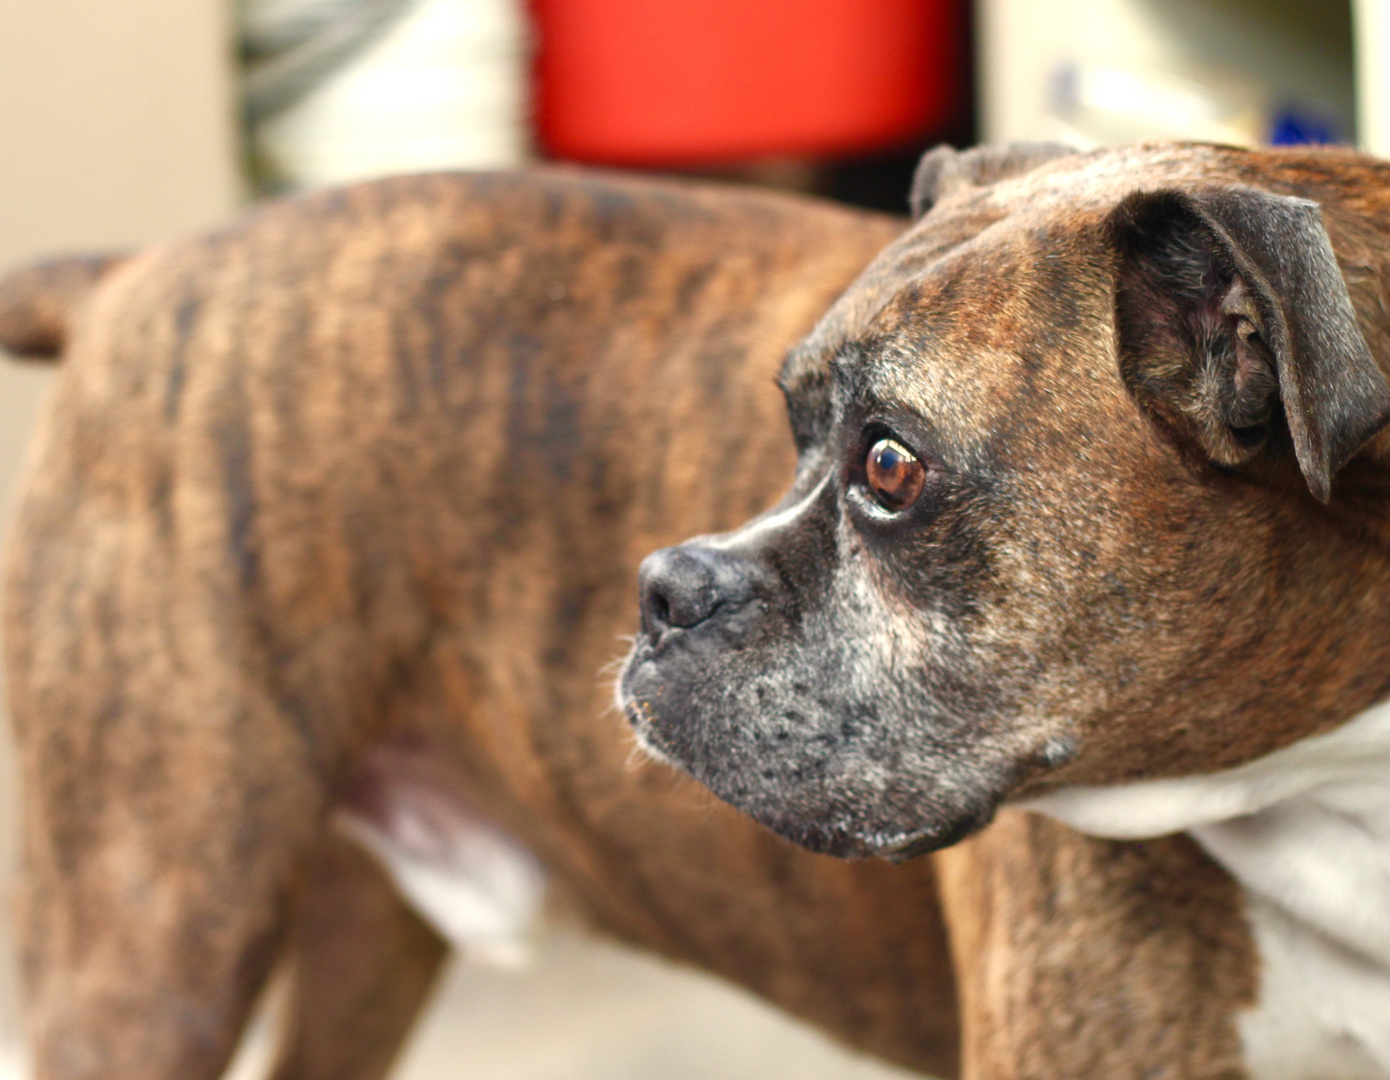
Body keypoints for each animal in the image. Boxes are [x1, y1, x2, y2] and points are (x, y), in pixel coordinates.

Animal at [2, 143, 1378, 1078]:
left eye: (889, 467)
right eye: (792, 429)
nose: (667, 586)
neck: (1332, 793)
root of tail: (136, 272)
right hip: (155, 952)